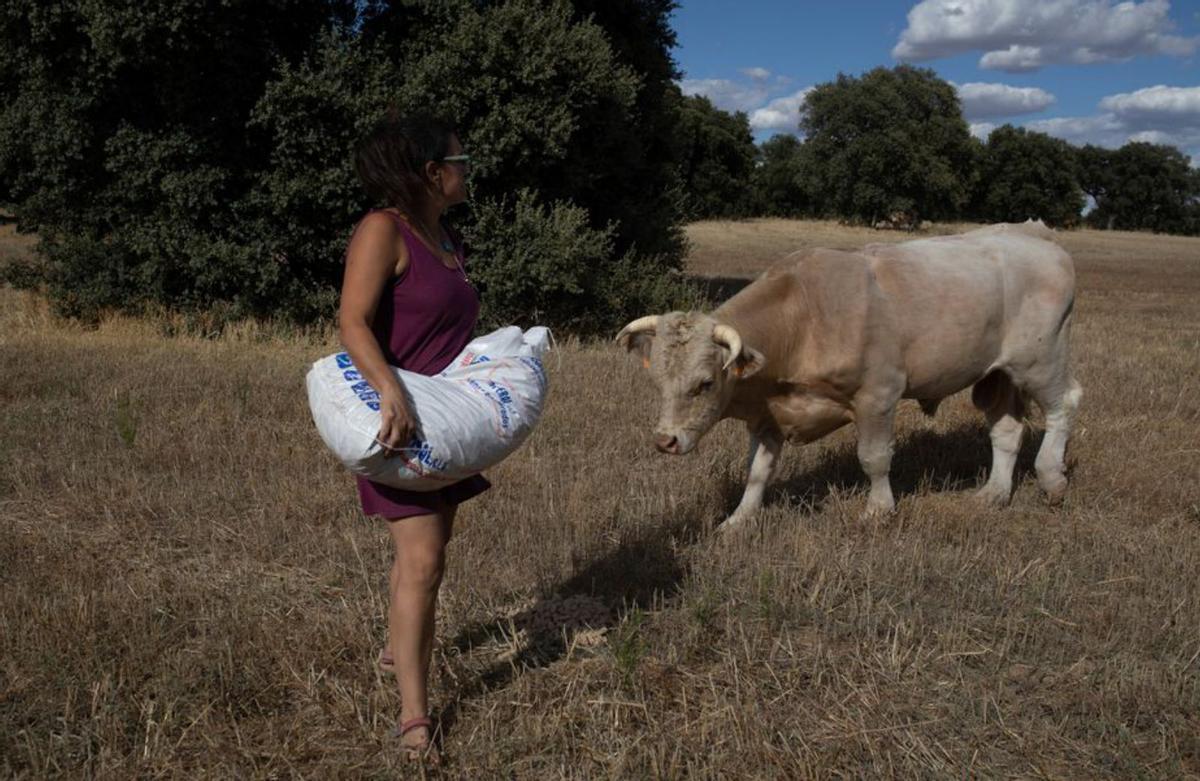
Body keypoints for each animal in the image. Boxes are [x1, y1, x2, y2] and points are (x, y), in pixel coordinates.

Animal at [624, 218, 1084, 532]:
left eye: (704, 383)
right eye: (657, 382)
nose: (665, 441)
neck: (804, 316)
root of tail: (1031, 232)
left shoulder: (878, 395)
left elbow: (874, 458)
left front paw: (879, 510)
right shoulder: (768, 416)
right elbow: (757, 470)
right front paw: (738, 520)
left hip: (1040, 360)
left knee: (1065, 403)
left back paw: (1052, 477)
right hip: (997, 376)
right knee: (1007, 431)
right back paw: (993, 493)